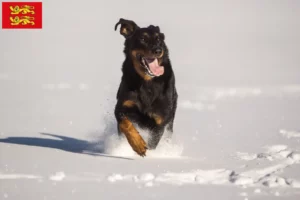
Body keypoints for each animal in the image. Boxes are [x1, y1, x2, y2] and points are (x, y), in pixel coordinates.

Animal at [113, 18, 177, 156]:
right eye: (143, 39)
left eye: (159, 39)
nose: (158, 50)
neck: (147, 82)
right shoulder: (121, 107)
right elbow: (126, 124)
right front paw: (138, 145)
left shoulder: (160, 121)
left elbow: (153, 143)